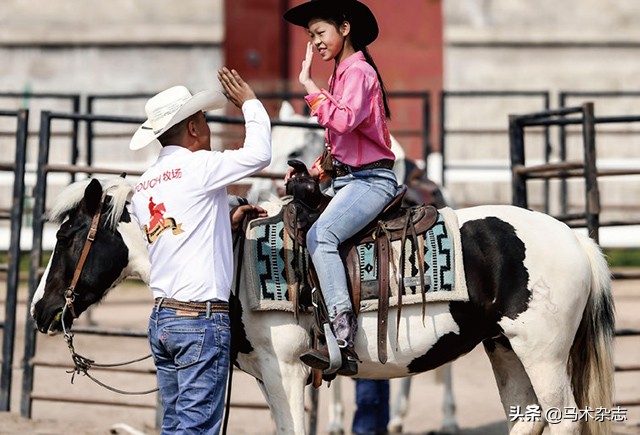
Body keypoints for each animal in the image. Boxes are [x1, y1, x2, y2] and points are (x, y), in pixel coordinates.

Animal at [32, 178, 612, 435]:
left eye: (67, 236)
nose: (40, 311)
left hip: (541, 352)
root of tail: (572, 238)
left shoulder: (286, 370)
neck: (233, 255)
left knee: (560, 417)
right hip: (503, 348)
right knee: (527, 416)